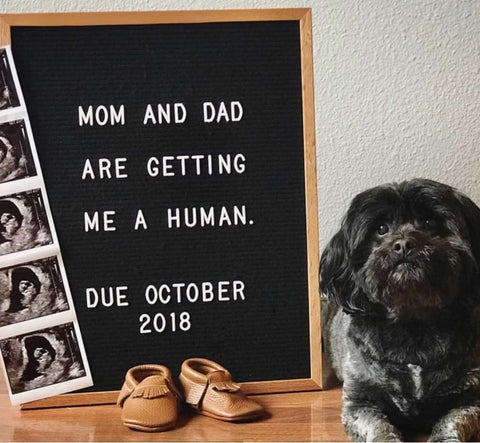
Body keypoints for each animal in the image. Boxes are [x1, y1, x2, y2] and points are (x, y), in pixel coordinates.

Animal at [320, 179, 480, 442]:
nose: (404, 243)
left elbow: (451, 423)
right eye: (381, 228)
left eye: (429, 222)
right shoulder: (360, 403)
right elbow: (380, 428)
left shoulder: (470, 400)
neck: (412, 327)